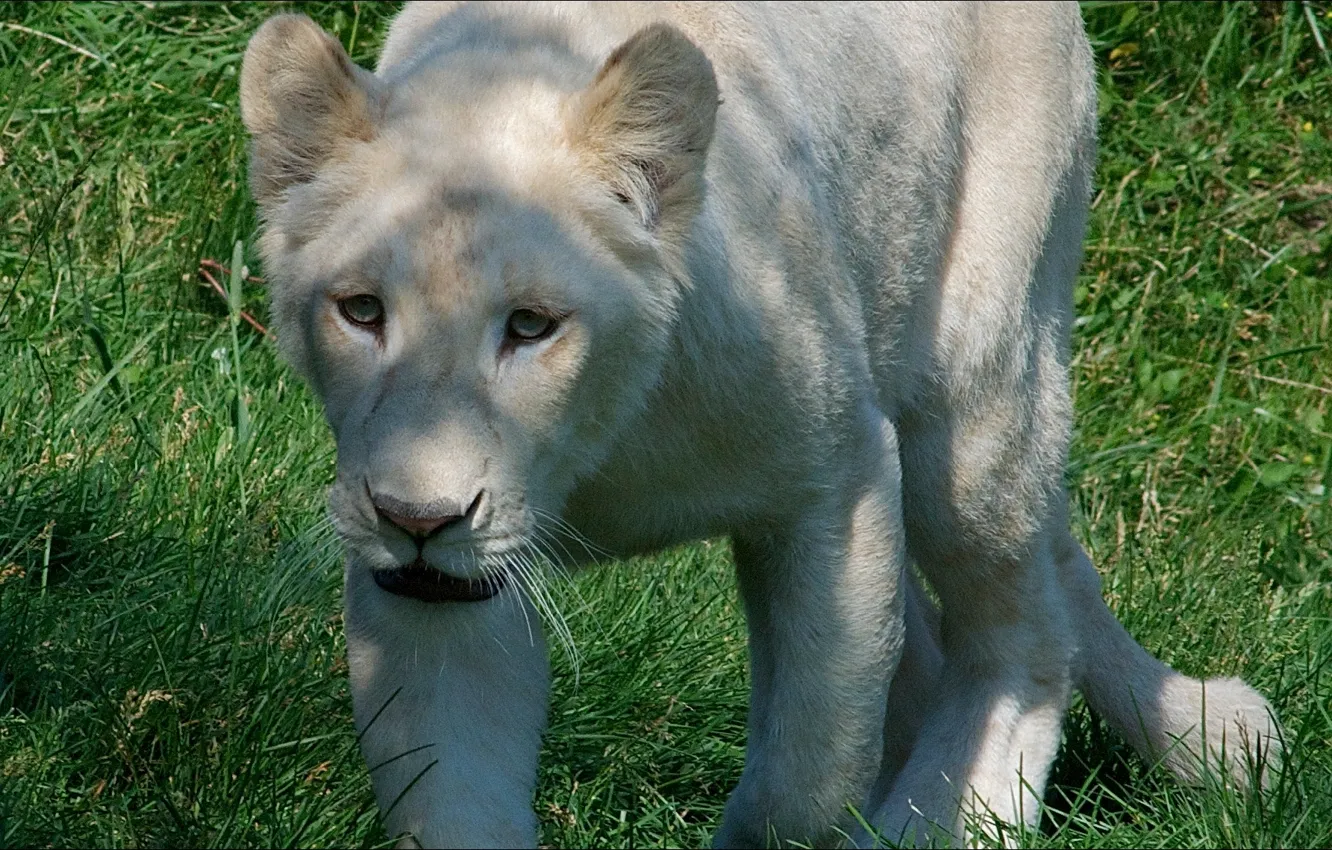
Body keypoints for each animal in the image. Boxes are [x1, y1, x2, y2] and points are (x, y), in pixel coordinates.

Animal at [238, 3, 1279, 847]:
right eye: (362, 311)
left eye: (531, 325)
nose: (418, 519)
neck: (598, 449)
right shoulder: (440, 590)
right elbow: (451, 790)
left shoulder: (838, 479)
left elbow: (803, 779)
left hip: (975, 391)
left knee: (1023, 637)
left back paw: (936, 822)